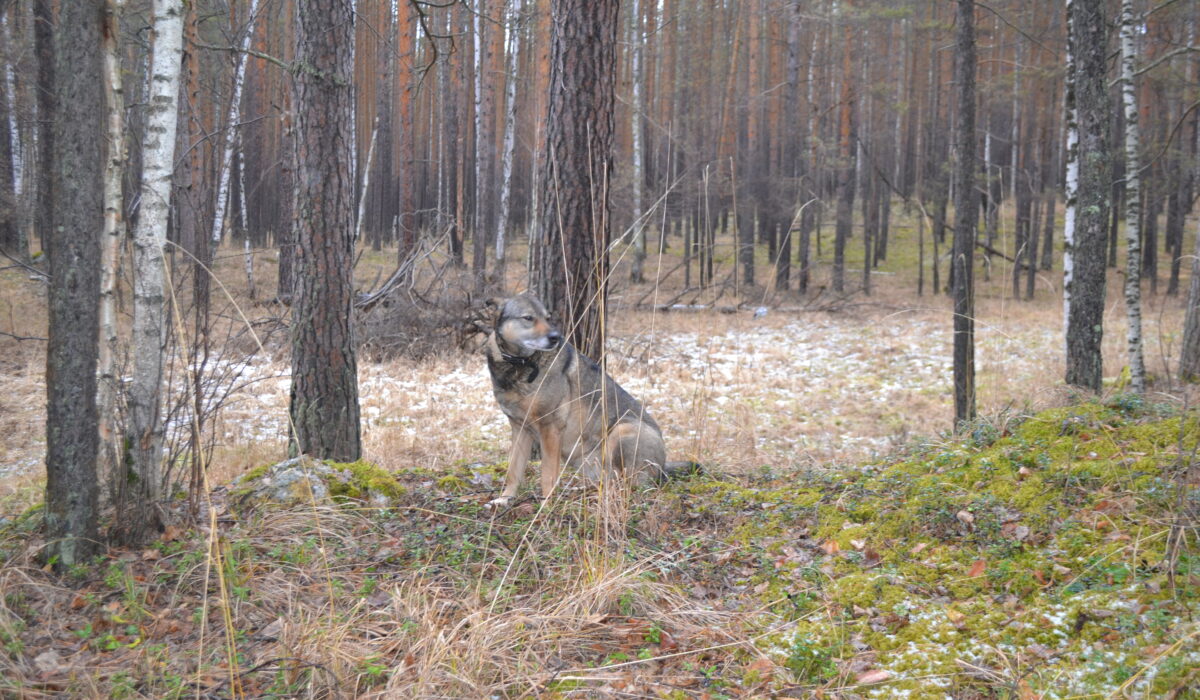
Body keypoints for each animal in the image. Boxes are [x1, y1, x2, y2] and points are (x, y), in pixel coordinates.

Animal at [483, 294, 692, 507]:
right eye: (528, 318)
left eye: (548, 318)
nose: (556, 337)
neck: (519, 364)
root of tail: (663, 465)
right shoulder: (519, 428)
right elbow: (514, 470)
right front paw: (504, 498)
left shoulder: (550, 428)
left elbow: (547, 475)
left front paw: (547, 504)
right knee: (608, 480)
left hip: (622, 431)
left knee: (624, 484)